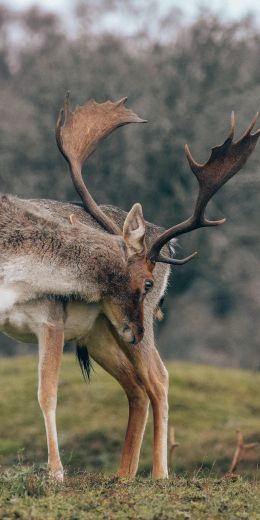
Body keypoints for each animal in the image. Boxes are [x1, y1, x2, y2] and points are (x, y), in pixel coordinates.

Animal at [0, 92, 258, 484]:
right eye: (143, 282)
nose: (136, 330)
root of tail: (165, 243)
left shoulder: (52, 320)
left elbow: (47, 393)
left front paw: (56, 474)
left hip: (124, 331)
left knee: (159, 378)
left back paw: (159, 475)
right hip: (101, 333)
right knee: (136, 387)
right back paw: (124, 476)